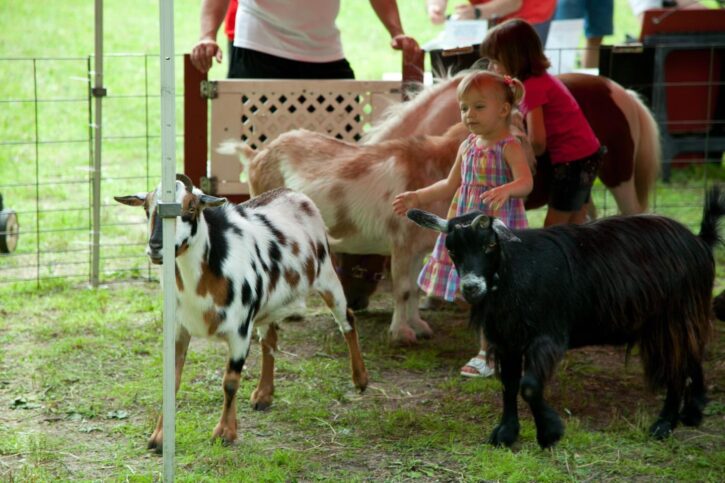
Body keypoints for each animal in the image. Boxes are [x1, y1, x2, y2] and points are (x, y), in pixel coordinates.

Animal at [118, 176, 370, 452]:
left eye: (191, 208)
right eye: (147, 208)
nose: (156, 248)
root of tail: (294, 193)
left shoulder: (239, 331)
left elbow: (230, 383)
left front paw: (225, 433)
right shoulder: (179, 328)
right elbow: (172, 381)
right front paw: (159, 438)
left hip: (327, 277)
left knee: (347, 320)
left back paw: (361, 379)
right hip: (268, 305)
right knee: (270, 340)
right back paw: (264, 395)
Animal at [404, 186, 720, 450]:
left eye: (489, 246)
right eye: (452, 249)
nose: (471, 288)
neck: (514, 270)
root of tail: (699, 242)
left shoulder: (547, 336)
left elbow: (529, 386)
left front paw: (550, 432)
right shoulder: (508, 339)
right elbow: (509, 385)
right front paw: (506, 433)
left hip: (674, 318)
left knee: (677, 369)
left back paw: (664, 424)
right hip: (680, 319)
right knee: (693, 356)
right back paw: (693, 411)